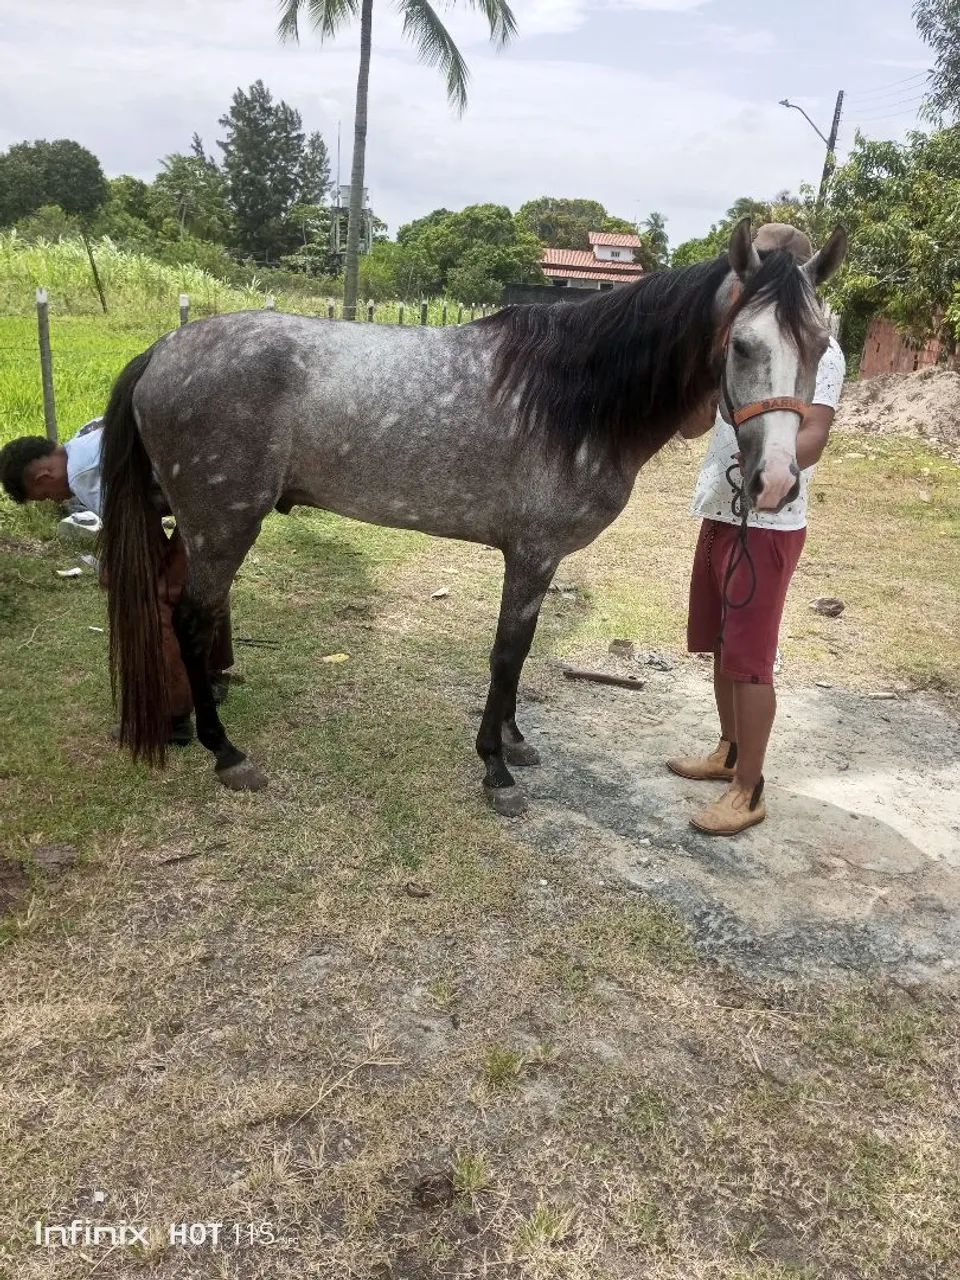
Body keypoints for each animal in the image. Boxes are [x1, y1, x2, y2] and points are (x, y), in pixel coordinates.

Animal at [99, 219, 847, 815]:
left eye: (819, 345)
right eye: (743, 345)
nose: (776, 483)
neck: (575, 396)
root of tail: (160, 352)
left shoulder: (538, 559)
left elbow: (520, 654)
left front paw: (514, 742)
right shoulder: (533, 553)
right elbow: (507, 652)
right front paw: (495, 767)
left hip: (191, 523)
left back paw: (181, 725)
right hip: (222, 526)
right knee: (191, 619)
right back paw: (225, 751)